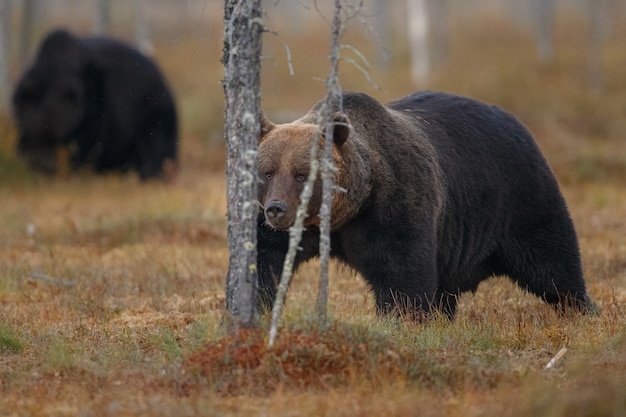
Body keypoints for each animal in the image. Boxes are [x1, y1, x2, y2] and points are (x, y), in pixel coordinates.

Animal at [255, 90, 596, 318]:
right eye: (267, 171)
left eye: (302, 174)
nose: (277, 208)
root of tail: (515, 121)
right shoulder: (282, 229)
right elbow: (264, 261)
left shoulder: (394, 205)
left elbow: (402, 272)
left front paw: (403, 317)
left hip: (520, 197)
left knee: (552, 261)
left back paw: (581, 308)